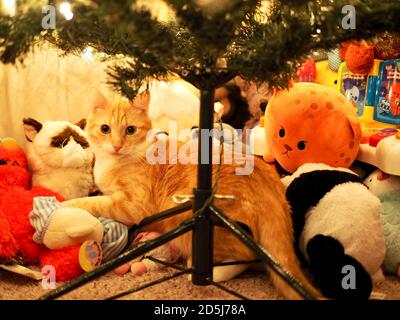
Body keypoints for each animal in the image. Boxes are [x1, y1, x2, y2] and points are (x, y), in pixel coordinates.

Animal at [62, 89, 318, 298]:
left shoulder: (133, 206)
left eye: (130, 130)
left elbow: (92, 202)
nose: (116, 146)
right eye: (105, 129)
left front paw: (64, 205)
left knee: (248, 258)